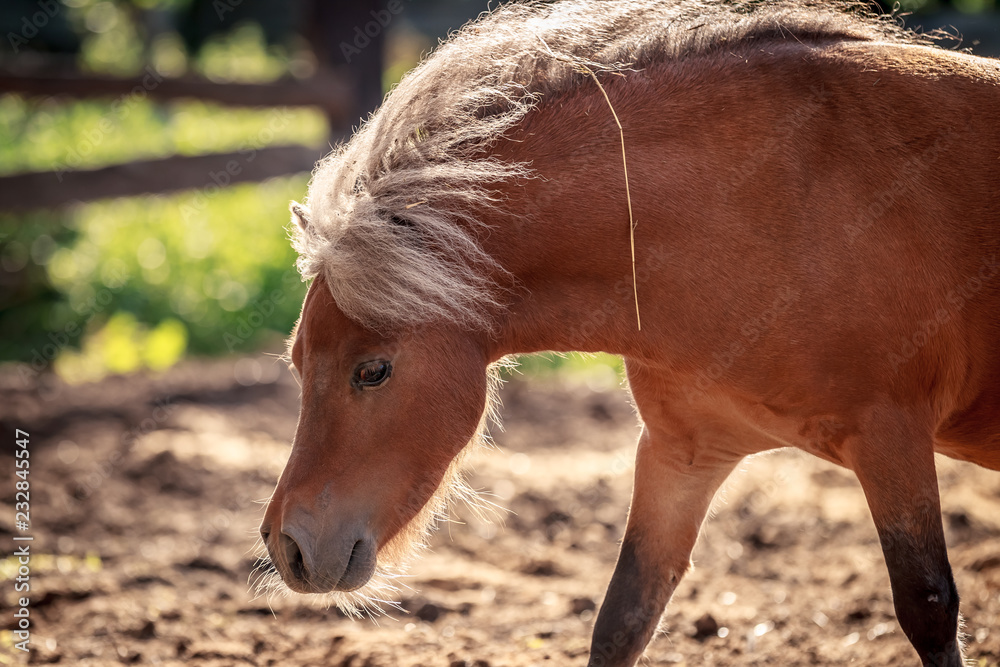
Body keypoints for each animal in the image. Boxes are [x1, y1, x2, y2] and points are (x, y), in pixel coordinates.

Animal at [257, 1, 1000, 665]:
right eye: (297, 363)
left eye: (372, 370)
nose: (285, 545)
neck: (772, 204)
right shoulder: (683, 453)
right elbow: (624, 617)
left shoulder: (891, 440)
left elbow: (928, 608)